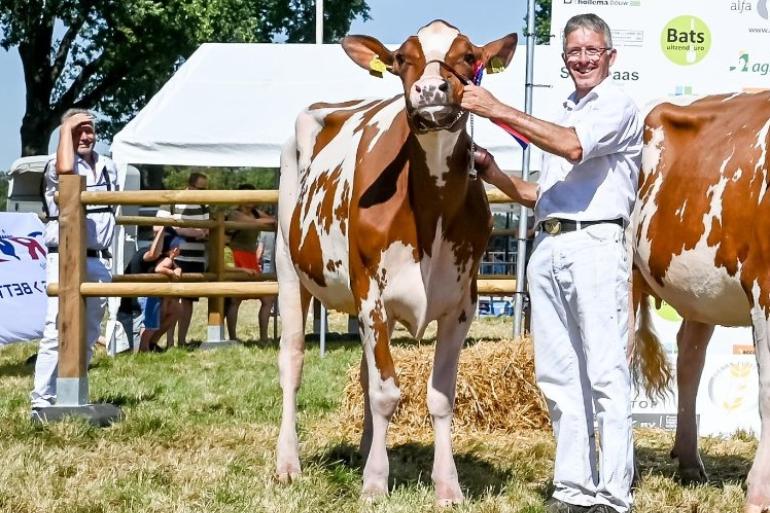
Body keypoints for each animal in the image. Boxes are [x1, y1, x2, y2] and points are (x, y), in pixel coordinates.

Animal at [272, 21, 520, 504]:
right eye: (402, 59)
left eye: (468, 56)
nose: (430, 90)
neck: (431, 213)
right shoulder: (372, 294)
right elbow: (387, 393)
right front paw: (374, 484)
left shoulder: (462, 304)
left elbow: (439, 397)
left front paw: (447, 487)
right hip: (289, 269)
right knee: (292, 361)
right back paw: (288, 464)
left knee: (365, 374)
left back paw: (367, 446)